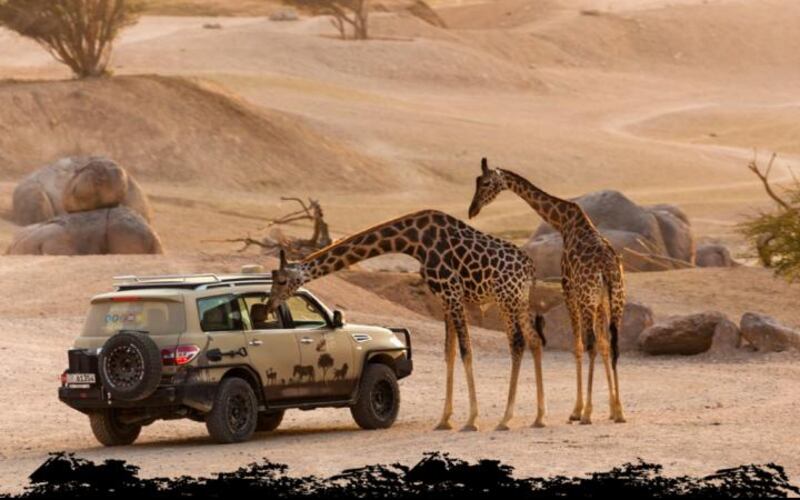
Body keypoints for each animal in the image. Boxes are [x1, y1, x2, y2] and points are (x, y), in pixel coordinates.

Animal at [266, 209, 548, 432]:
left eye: (281, 280)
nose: (268, 304)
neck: (415, 242)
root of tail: (530, 267)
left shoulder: (453, 293)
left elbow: (466, 351)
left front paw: (471, 420)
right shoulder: (443, 298)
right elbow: (449, 352)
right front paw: (444, 420)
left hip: (506, 296)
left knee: (517, 343)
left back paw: (506, 419)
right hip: (519, 299)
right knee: (534, 340)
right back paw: (539, 417)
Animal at [468, 158, 624, 424]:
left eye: (487, 183)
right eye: (477, 181)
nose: (472, 210)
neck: (563, 222)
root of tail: (606, 269)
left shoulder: (568, 288)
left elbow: (578, 346)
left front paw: (577, 410)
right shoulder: (601, 301)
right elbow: (604, 346)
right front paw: (613, 409)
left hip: (587, 298)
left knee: (590, 343)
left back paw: (586, 414)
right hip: (617, 299)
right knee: (613, 344)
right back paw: (621, 412)